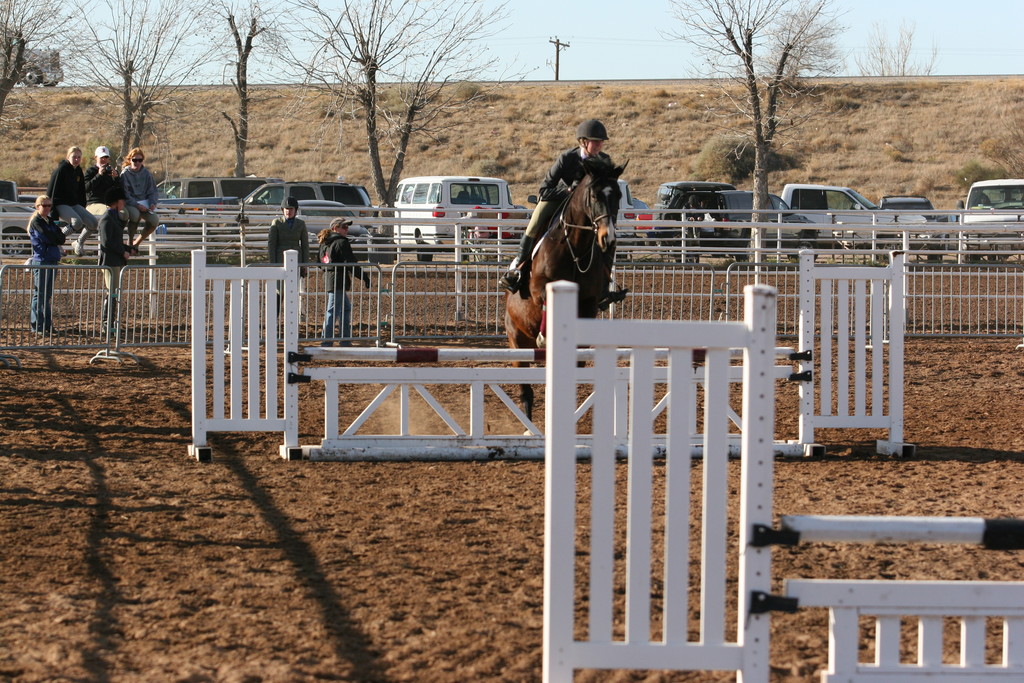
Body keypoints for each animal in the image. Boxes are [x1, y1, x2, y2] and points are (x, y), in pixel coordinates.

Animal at [501, 158, 622, 421]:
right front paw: (546, 335)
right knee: (526, 392)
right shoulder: (538, 288)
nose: (608, 239)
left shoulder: (589, 300)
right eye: (594, 195)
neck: (575, 247)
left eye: (618, 195)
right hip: (516, 341)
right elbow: (546, 300)